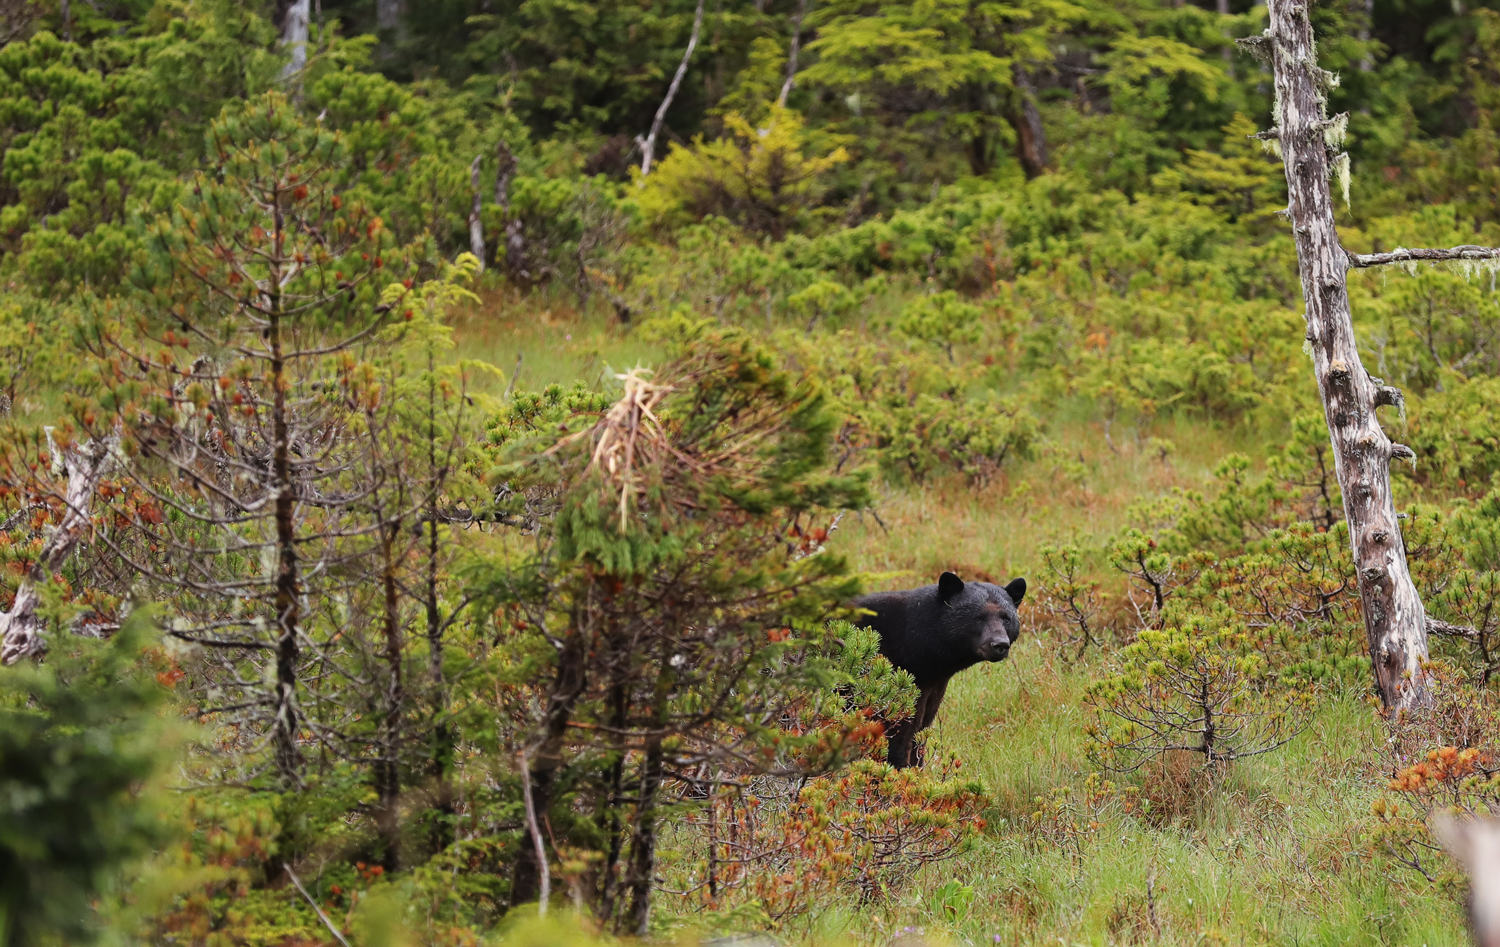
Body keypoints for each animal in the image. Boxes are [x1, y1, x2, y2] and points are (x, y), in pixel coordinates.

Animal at [852, 573, 1026, 768]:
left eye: (1006, 618)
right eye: (978, 617)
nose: (1000, 644)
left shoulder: (933, 687)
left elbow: (920, 731)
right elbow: (897, 733)